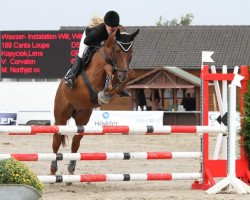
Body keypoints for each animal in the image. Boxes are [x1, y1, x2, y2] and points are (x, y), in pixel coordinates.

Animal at [50, 27, 140, 176]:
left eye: (131, 52)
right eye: (117, 50)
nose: (122, 75)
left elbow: (130, 73)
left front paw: (114, 89)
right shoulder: (94, 76)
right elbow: (107, 68)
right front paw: (105, 92)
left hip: (83, 116)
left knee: (76, 141)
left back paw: (71, 167)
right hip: (61, 115)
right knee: (56, 139)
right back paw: (53, 168)